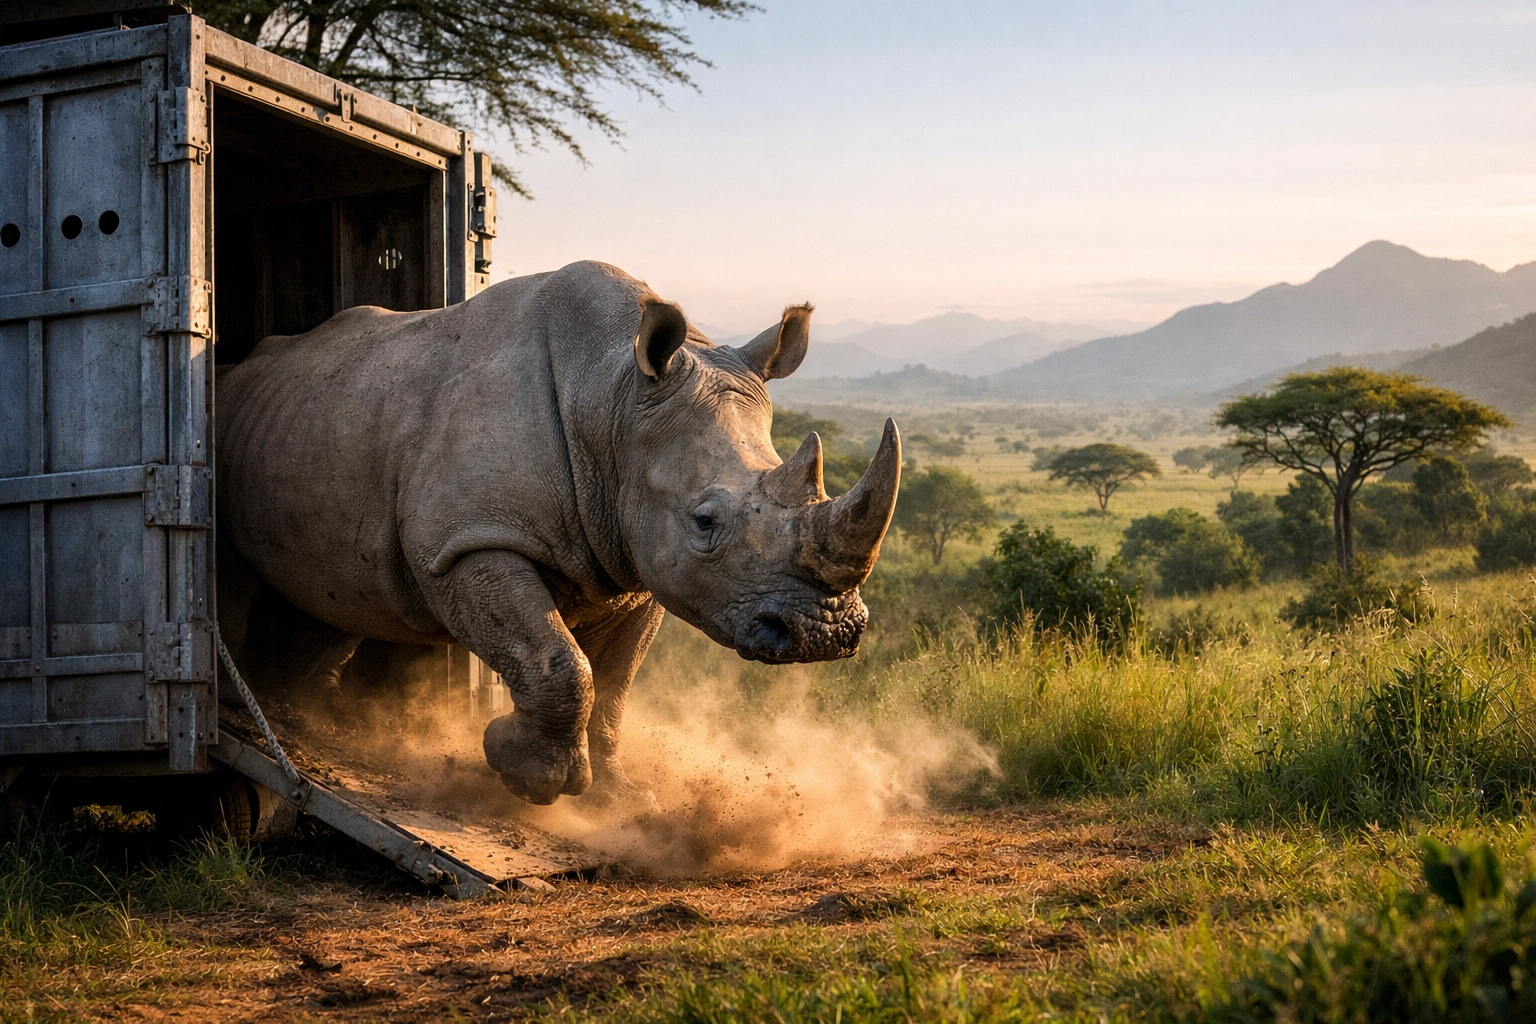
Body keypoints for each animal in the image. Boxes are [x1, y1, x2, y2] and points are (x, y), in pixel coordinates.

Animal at [215, 261, 901, 804]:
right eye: (705, 521)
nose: (827, 632)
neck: (612, 400)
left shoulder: (637, 564)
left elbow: (616, 687)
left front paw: (624, 798)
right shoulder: (471, 538)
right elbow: (559, 661)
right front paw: (529, 778)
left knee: (339, 597)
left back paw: (309, 712)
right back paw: (243, 707)